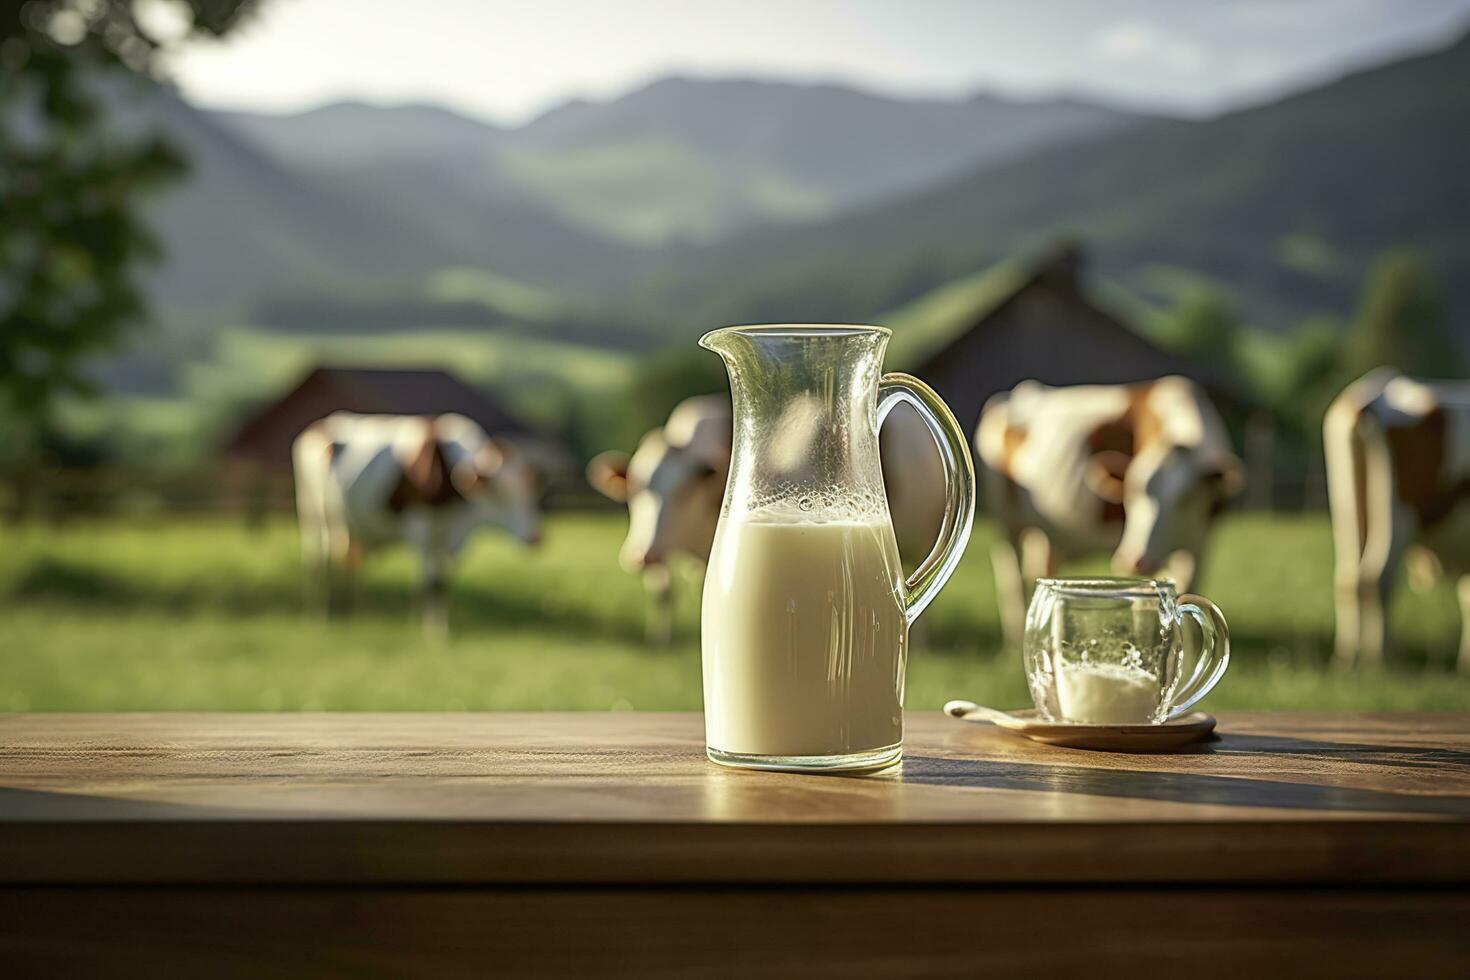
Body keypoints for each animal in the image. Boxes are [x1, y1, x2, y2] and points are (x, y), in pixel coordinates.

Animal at [289, 414, 543, 637]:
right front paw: (432, 632)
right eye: (499, 493)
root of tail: (317, 427)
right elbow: (431, 582)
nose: (535, 537)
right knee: (317, 562)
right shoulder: (420, 527)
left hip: (345, 526)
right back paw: (318, 616)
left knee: (345, 561)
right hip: (312, 512)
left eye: (530, 492)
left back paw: (351, 609)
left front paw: (438, 624)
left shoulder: (455, 533)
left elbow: (443, 581)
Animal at [976, 379, 1240, 646]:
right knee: (1012, 580)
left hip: (1043, 535)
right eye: (1131, 492)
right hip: (1008, 523)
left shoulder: (1201, 542)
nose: (1134, 559)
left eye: (1185, 499)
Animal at [1323, 370, 1470, 675]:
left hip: (1348, 507)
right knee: (1377, 578)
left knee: (1348, 578)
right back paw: (1380, 659)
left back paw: (1346, 657)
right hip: (1397, 512)